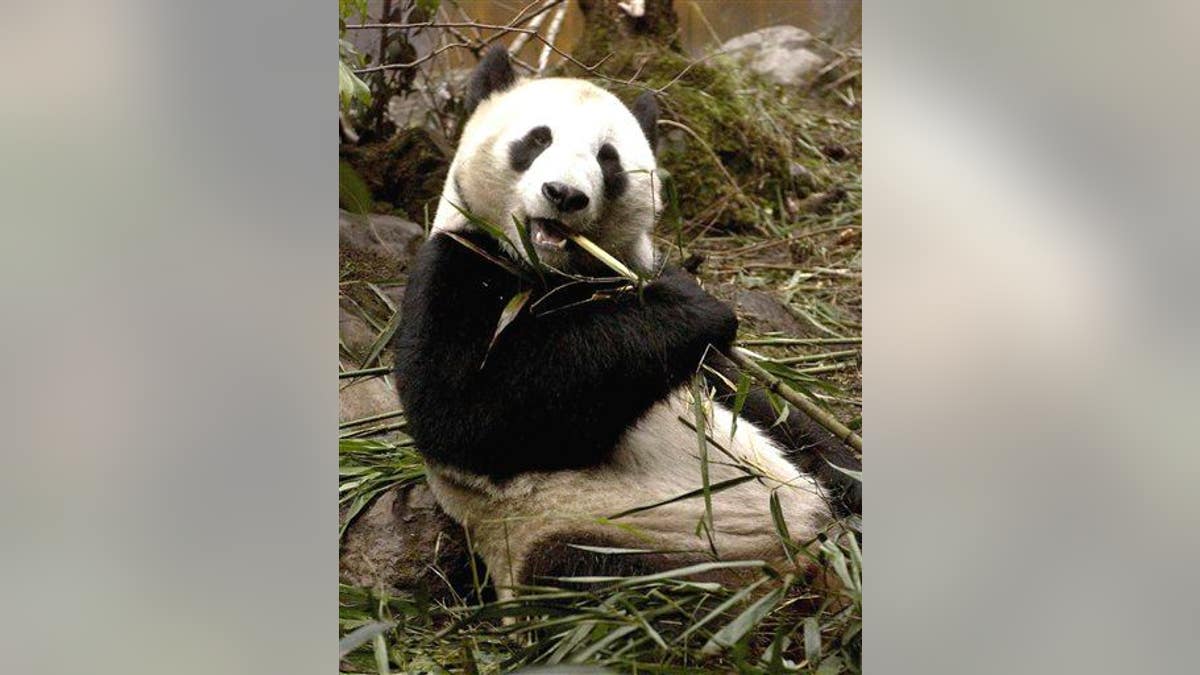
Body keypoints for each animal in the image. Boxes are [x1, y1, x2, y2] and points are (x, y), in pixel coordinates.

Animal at [394, 46, 859, 598]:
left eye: (607, 159)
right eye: (537, 139)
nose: (564, 194)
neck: (553, 272)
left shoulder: (702, 364)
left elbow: (762, 400)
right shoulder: (458, 267)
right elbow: (466, 415)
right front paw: (691, 307)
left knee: (825, 467)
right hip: (604, 536)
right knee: (602, 581)